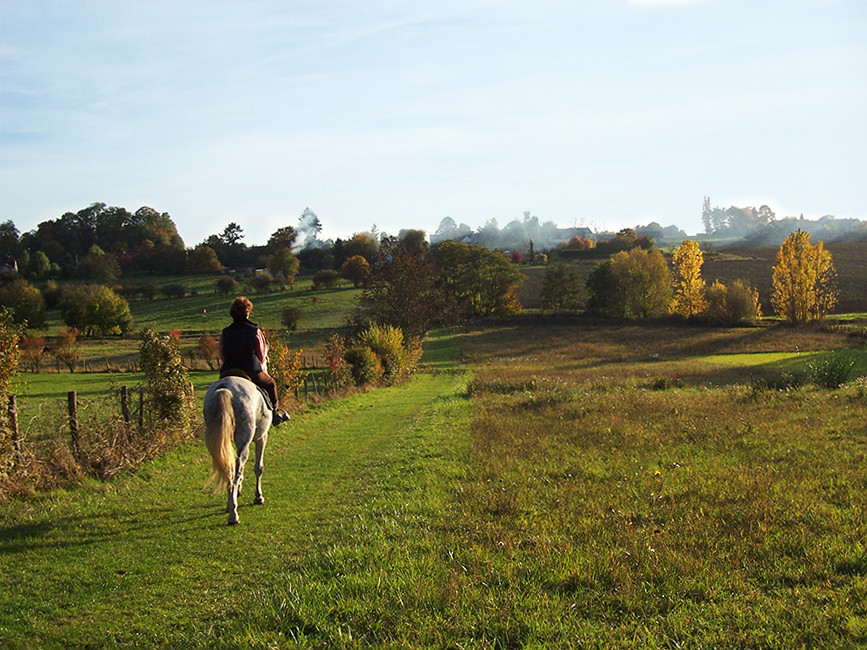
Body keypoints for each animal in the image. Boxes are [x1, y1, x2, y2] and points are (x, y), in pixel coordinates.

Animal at [203, 344, 272, 520]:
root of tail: (225, 388)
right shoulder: (262, 437)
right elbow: (258, 467)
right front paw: (258, 496)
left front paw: (238, 490)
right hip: (245, 439)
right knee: (238, 467)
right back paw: (233, 513)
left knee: (229, 466)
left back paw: (231, 504)